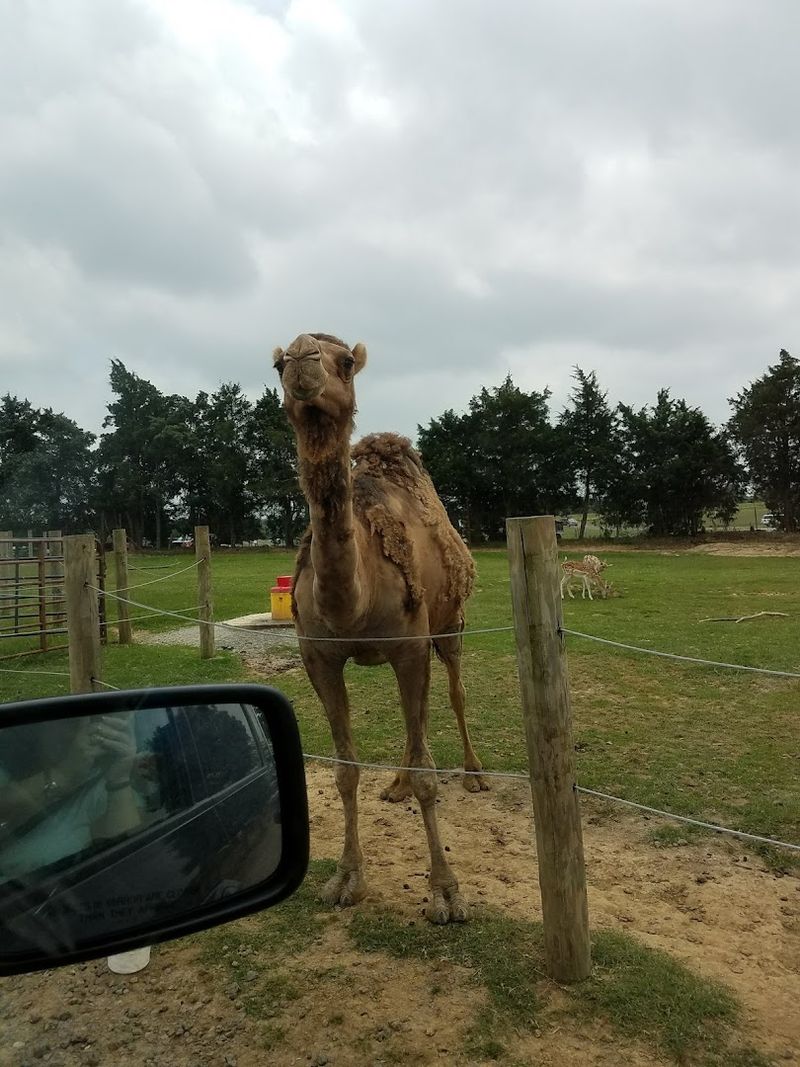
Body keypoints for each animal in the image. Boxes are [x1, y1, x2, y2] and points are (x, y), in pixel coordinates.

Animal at [273, 332, 486, 923]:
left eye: (345, 361)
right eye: (276, 366)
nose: (301, 358)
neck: (354, 602)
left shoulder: (411, 646)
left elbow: (430, 776)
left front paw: (446, 893)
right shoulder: (318, 656)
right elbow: (345, 770)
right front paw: (347, 879)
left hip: (449, 625)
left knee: (455, 692)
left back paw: (474, 773)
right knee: (417, 726)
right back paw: (395, 784)